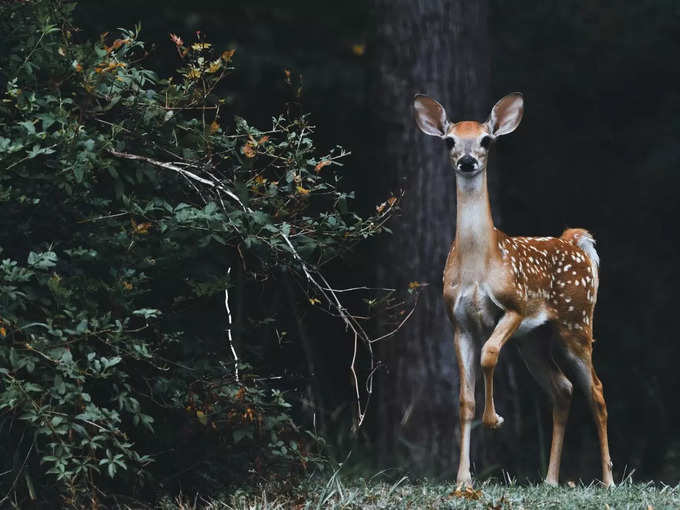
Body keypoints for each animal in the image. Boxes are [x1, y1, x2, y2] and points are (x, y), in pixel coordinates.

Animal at [414, 93, 616, 488]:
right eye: (449, 141)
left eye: (486, 140)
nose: (467, 161)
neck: (479, 264)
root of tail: (576, 242)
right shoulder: (458, 322)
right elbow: (464, 399)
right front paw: (463, 479)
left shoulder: (515, 306)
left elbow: (489, 354)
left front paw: (494, 419)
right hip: (534, 340)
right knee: (563, 389)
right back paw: (550, 480)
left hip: (576, 321)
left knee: (597, 390)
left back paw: (609, 480)